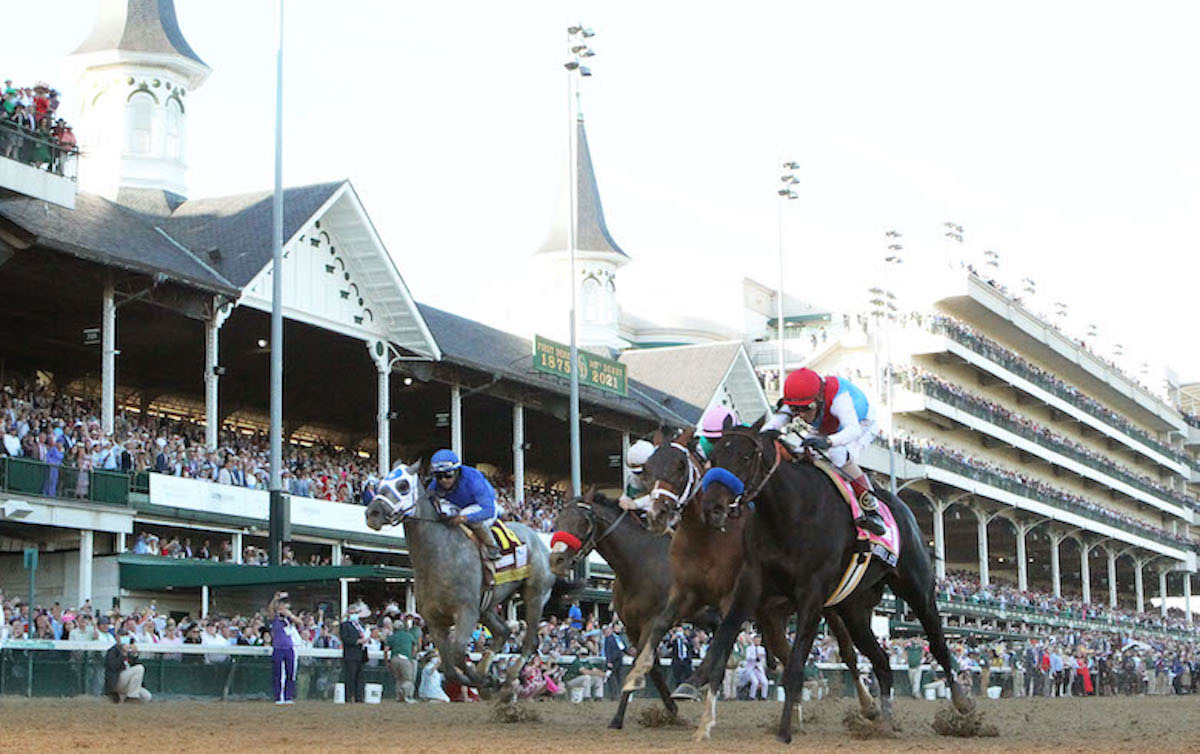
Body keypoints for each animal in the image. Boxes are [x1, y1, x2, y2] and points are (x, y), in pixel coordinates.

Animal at [364, 463, 556, 705]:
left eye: (403, 485)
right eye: (379, 483)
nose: (372, 513)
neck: (439, 556)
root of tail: (537, 538)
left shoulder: (466, 612)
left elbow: (456, 655)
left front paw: (487, 681)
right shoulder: (435, 620)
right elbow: (449, 669)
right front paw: (485, 681)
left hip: (535, 596)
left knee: (529, 641)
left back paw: (508, 678)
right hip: (487, 607)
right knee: (503, 632)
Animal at [700, 425, 969, 744]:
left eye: (744, 457)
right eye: (714, 456)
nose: (712, 507)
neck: (789, 512)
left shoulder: (812, 596)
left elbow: (795, 664)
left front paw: (784, 731)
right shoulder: (753, 585)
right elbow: (723, 638)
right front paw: (703, 716)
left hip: (918, 591)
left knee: (938, 644)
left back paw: (961, 702)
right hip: (854, 610)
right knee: (881, 661)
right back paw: (885, 722)